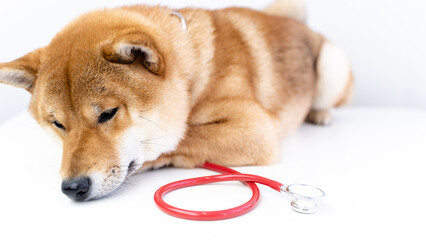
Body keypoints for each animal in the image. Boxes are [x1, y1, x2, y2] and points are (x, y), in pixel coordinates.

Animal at [0, 0, 352, 201]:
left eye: (108, 114)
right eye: (58, 124)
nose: (73, 188)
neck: (194, 74)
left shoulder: (256, 129)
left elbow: (182, 137)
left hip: (332, 65)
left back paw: (319, 114)